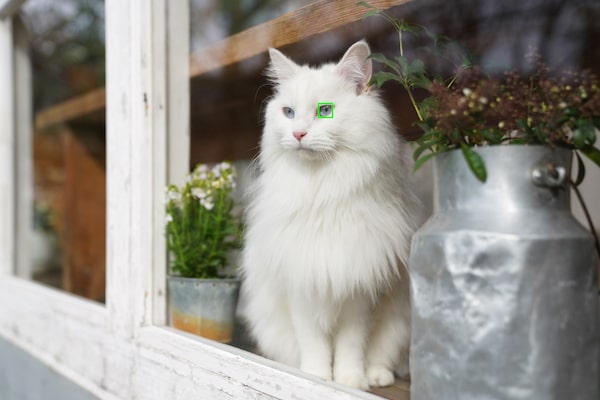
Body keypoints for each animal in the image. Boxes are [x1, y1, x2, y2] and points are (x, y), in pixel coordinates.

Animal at [241, 40, 420, 390]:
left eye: (325, 111)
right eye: (288, 112)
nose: (298, 134)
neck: (322, 193)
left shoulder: (361, 292)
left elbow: (351, 346)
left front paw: (350, 381)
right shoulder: (302, 287)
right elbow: (315, 345)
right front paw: (315, 377)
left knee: (383, 357)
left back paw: (376, 376)